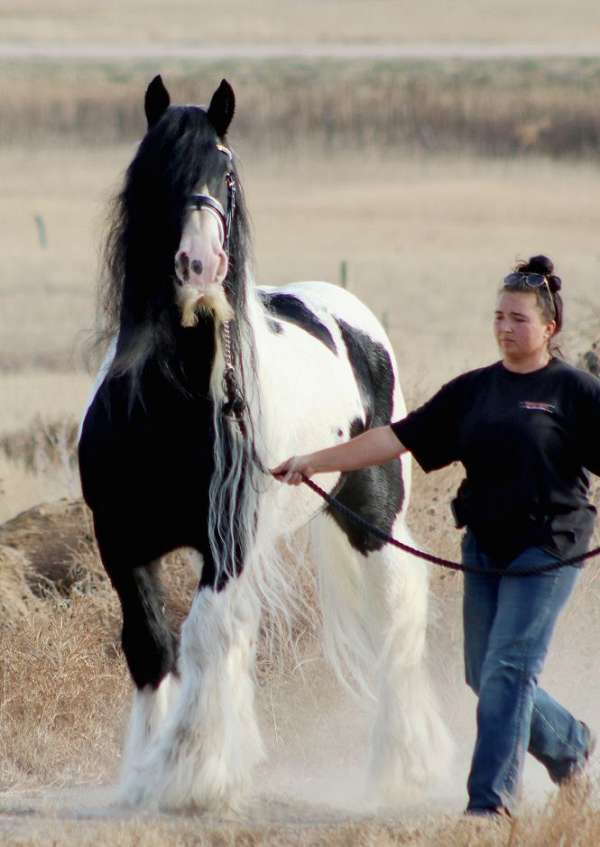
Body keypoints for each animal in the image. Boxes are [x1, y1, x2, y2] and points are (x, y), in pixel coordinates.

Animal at [79, 76, 452, 812]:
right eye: (155, 169)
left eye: (226, 172)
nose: (200, 265)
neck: (172, 403)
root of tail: (349, 313)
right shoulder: (121, 540)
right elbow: (151, 644)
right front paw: (144, 774)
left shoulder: (226, 539)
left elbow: (204, 634)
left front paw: (190, 771)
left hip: (375, 519)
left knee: (395, 625)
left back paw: (402, 766)